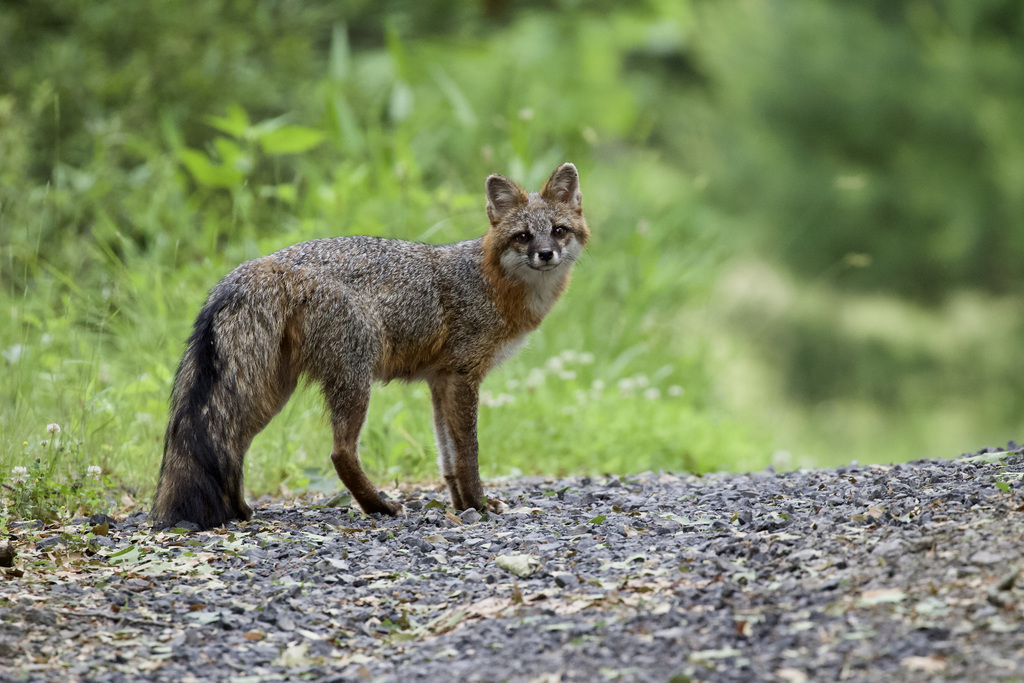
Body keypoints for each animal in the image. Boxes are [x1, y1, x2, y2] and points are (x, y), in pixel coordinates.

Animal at [148, 162, 589, 532]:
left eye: (559, 230)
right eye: (523, 236)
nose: (545, 254)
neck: (491, 282)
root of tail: (266, 264)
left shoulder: (441, 381)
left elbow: (447, 456)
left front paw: (462, 504)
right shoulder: (465, 377)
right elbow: (468, 451)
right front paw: (479, 504)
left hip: (267, 392)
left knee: (233, 445)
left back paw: (240, 511)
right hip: (352, 380)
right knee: (339, 453)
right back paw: (379, 506)